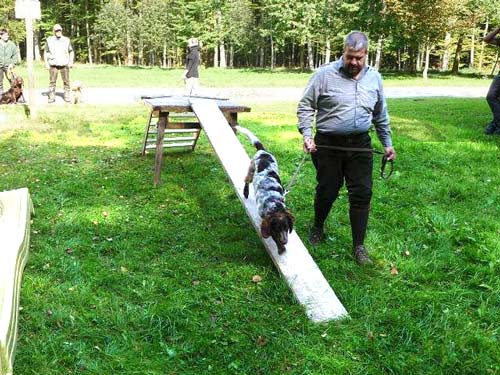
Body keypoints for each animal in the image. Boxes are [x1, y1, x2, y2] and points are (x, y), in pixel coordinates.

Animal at [236, 127, 294, 256]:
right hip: (251, 170)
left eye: (287, 227)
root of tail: (263, 151)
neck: (275, 204)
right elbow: (273, 236)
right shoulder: (266, 221)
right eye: (277, 228)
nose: (285, 241)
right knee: (246, 180)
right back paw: (245, 192)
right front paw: (280, 247)